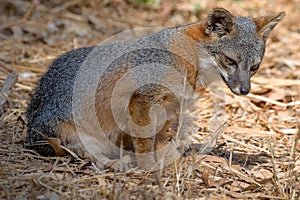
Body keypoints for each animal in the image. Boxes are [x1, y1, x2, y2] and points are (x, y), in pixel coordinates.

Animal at [25, 7, 284, 170]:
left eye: (254, 67)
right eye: (230, 61)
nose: (245, 90)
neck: (184, 56)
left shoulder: (167, 107)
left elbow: (155, 139)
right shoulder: (141, 100)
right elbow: (145, 141)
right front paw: (150, 167)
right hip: (73, 134)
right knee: (91, 157)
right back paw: (116, 164)